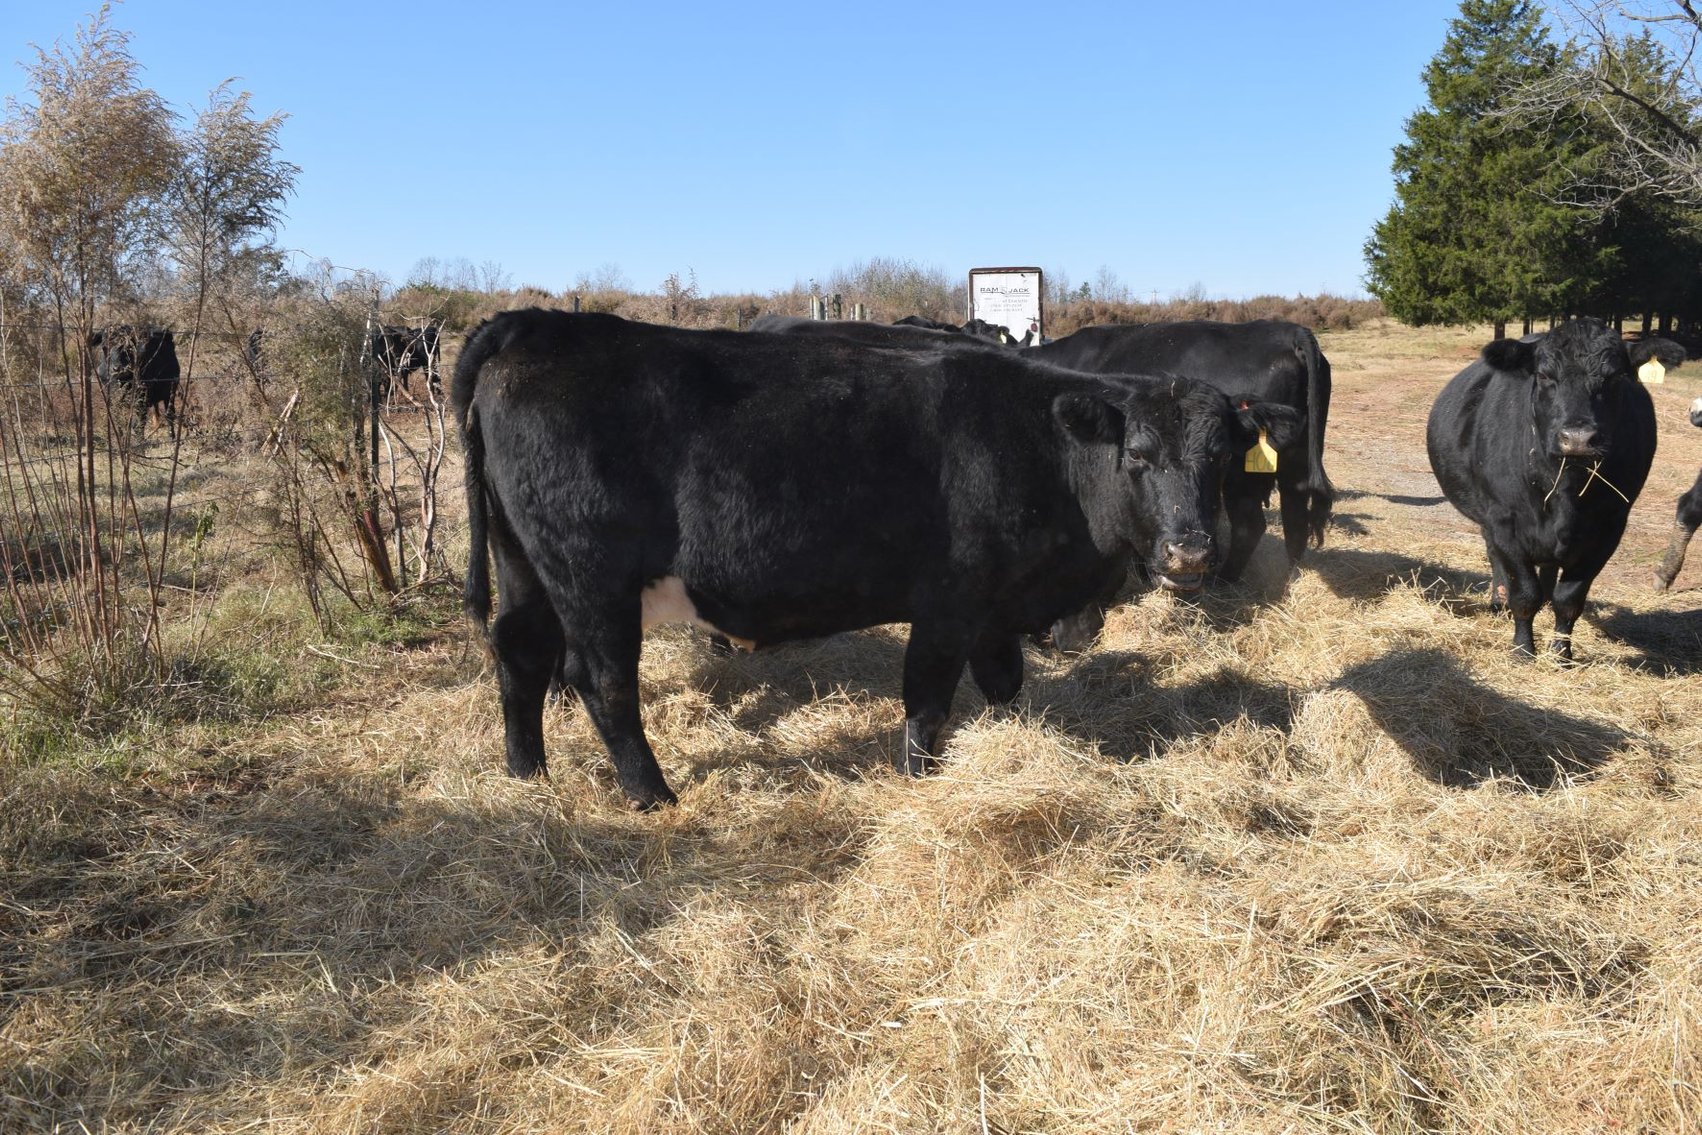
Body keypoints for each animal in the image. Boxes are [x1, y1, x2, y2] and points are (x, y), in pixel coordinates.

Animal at [455, 309, 1300, 808]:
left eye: (1221, 454)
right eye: (1138, 455)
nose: (1190, 552)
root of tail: (537, 326)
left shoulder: (994, 605)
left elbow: (1003, 682)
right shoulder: (949, 602)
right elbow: (925, 697)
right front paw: (921, 777)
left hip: (524, 564)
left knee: (519, 652)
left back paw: (527, 774)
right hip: (590, 578)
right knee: (599, 681)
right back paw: (652, 794)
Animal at [1426, 319, 1683, 659]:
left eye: (1615, 377)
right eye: (1545, 375)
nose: (1578, 438)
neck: (1566, 491)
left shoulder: (1609, 528)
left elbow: (1569, 599)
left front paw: (1561, 654)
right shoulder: (1505, 522)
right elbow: (1524, 593)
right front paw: (1523, 650)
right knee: (1496, 556)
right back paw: (1498, 602)